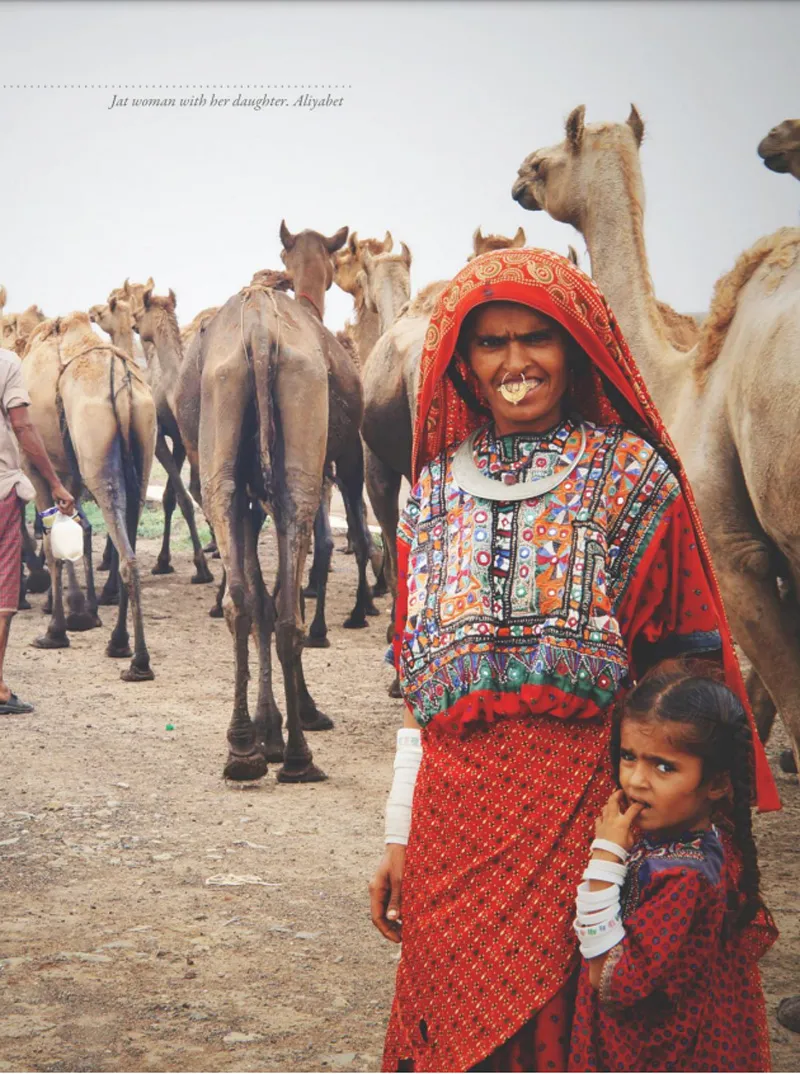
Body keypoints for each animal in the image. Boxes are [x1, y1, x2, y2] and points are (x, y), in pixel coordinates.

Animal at [21, 311, 156, 678]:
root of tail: (123, 383)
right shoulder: (70, 473)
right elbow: (79, 528)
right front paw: (83, 612)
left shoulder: (37, 466)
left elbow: (53, 545)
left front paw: (56, 630)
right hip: (141, 449)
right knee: (128, 539)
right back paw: (119, 643)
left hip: (96, 452)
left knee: (126, 552)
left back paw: (138, 662)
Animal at [195, 222, 373, 786]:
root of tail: (257, 332)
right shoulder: (346, 460)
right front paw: (292, 721)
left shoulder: (255, 500)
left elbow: (259, 597)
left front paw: (264, 730)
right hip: (302, 464)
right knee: (288, 609)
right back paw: (297, 755)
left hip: (223, 449)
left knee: (243, 602)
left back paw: (243, 749)